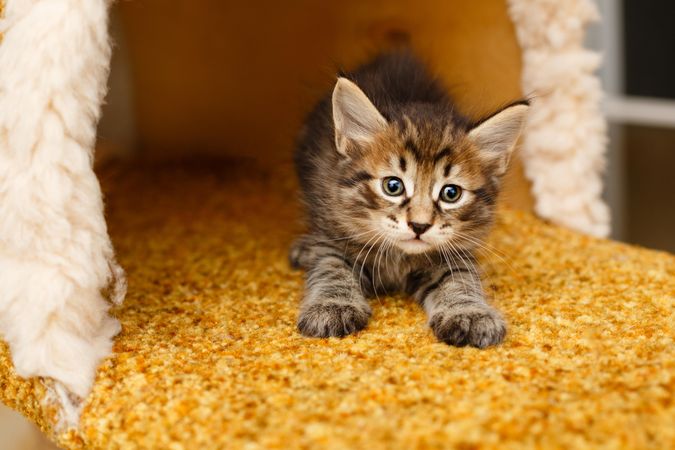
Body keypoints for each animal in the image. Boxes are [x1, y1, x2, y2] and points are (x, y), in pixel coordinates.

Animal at [290, 52, 528, 348]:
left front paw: (470, 313)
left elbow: (460, 280)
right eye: (393, 186)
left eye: (451, 193)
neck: (398, 258)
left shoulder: (454, 254)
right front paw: (332, 306)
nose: (419, 226)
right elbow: (332, 269)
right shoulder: (332, 236)